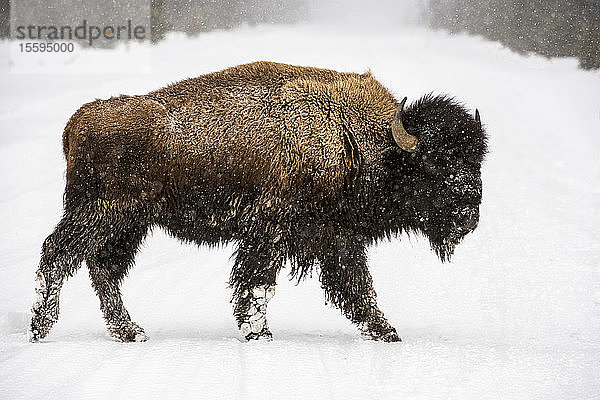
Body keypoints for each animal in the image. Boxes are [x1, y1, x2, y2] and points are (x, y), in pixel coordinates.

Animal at [29, 61, 488, 342]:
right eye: (433, 164)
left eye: (477, 159)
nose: (469, 215)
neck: (356, 138)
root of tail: (78, 120)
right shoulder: (270, 233)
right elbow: (257, 285)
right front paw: (259, 334)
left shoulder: (336, 239)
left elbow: (356, 290)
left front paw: (388, 334)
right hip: (102, 214)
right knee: (58, 255)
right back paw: (41, 328)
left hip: (129, 224)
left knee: (103, 268)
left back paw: (131, 333)